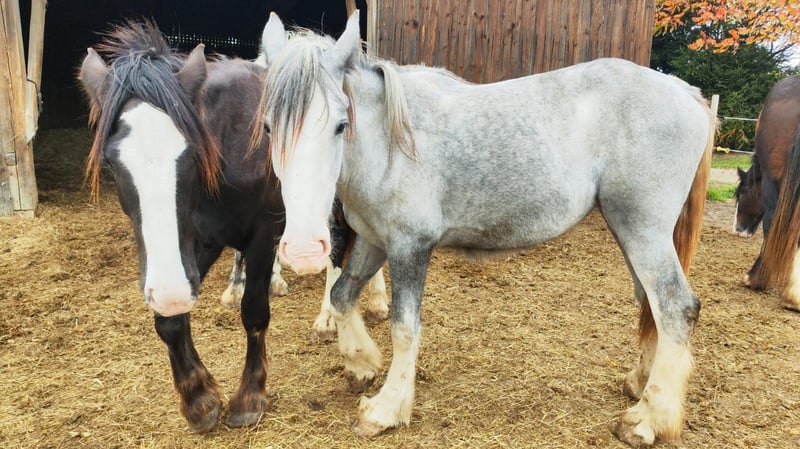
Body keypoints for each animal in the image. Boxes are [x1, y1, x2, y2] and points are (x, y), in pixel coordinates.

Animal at [77, 21, 388, 433]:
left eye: (194, 155)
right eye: (111, 164)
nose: (171, 292)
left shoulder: (263, 235)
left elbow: (254, 311)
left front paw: (249, 398)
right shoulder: (196, 242)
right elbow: (170, 321)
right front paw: (198, 400)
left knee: (338, 250)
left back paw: (335, 317)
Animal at [256, 11, 715, 447]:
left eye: (340, 124)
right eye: (268, 127)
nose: (303, 250)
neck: (388, 142)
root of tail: (684, 92)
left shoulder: (409, 247)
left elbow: (404, 328)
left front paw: (386, 408)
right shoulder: (373, 240)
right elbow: (341, 295)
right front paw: (361, 364)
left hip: (643, 230)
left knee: (675, 307)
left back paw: (646, 421)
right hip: (629, 230)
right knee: (651, 305)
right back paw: (640, 385)